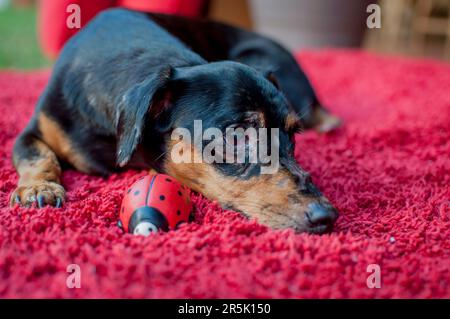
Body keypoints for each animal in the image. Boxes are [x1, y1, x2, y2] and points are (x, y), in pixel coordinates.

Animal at [10, 9, 340, 235]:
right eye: (237, 136)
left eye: (292, 136)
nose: (327, 215)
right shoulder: (32, 132)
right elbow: (37, 155)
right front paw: (39, 188)